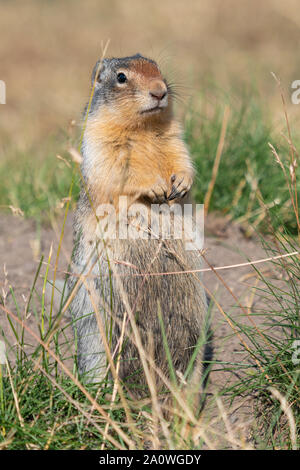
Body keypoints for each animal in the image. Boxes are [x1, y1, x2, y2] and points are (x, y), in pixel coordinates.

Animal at [69, 54, 212, 400]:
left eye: (158, 68)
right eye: (121, 77)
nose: (160, 91)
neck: (143, 127)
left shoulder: (175, 138)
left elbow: (182, 159)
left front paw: (180, 183)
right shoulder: (97, 140)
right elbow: (116, 173)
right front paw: (157, 187)